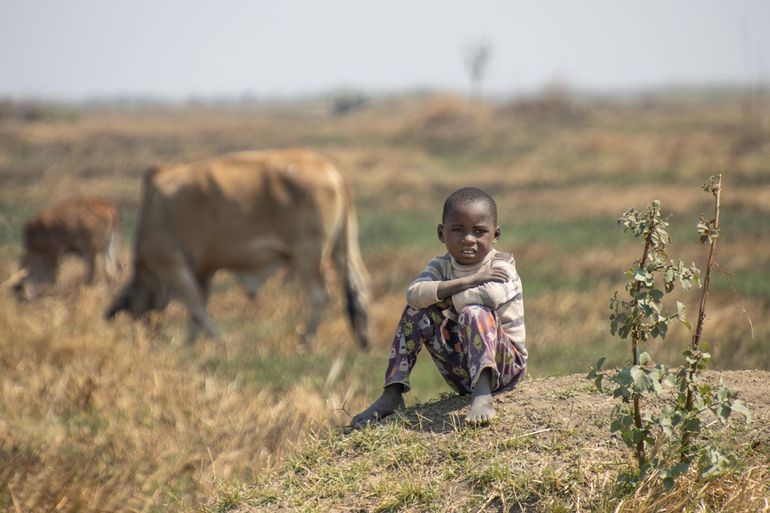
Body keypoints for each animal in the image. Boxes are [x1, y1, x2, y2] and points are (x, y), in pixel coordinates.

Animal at [106, 148, 372, 348]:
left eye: (134, 313)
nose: (144, 336)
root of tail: (333, 171)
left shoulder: (172, 262)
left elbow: (195, 305)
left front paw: (215, 341)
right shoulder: (203, 270)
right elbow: (198, 307)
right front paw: (191, 343)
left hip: (308, 255)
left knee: (319, 295)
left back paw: (306, 341)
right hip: (341, 248)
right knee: (359, 285)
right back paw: (364, 339)